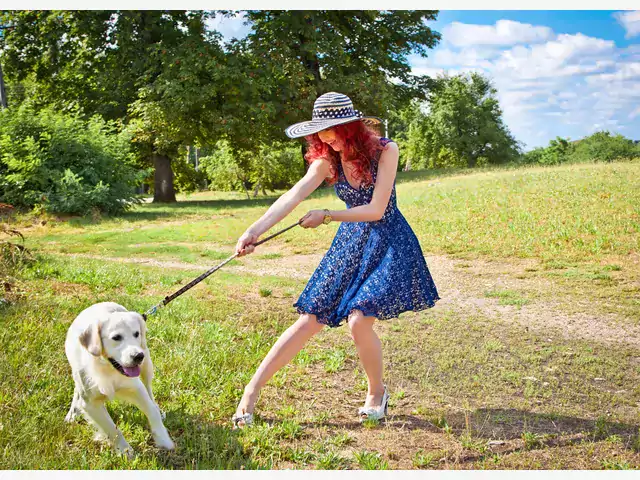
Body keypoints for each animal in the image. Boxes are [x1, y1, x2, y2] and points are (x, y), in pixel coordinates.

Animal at [65, 302, 175, 456]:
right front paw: (125, 451)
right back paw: (72, 413)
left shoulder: (136, 387)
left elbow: (152, 411)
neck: (109, 369)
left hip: (147, 365)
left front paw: (164, 440)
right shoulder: (90, 403)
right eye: (116, 337)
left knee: (149, 390)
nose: (138, 356)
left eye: (136, 334)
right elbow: (112, 429)